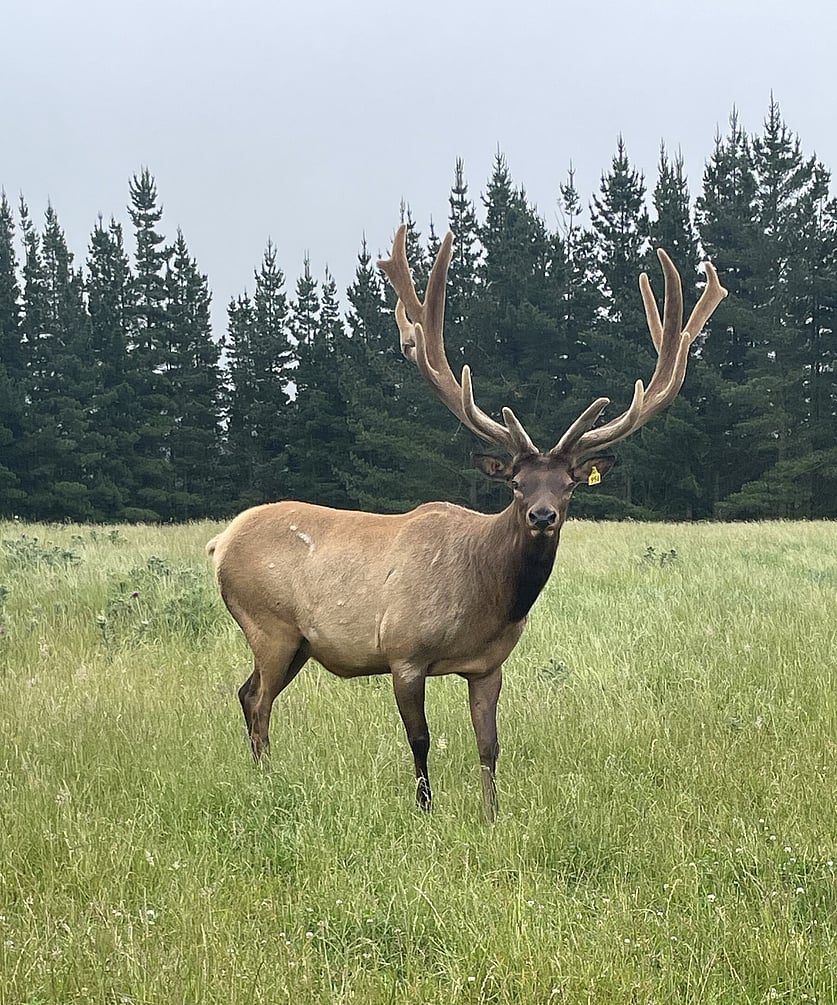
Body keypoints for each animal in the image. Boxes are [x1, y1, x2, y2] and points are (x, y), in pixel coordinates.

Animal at [207, 223, 727, 822]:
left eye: (569, 485)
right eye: (515, 484)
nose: (543, 515)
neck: (483, 599)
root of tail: (220, 542)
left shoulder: (488, 665)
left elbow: (488, 742)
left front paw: (492, 814)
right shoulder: (404, 652)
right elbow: (420, 739)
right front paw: (426, 810)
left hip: (296, 643)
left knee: (248, 693)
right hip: (268, 624)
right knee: (256, 697)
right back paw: (265, 781)